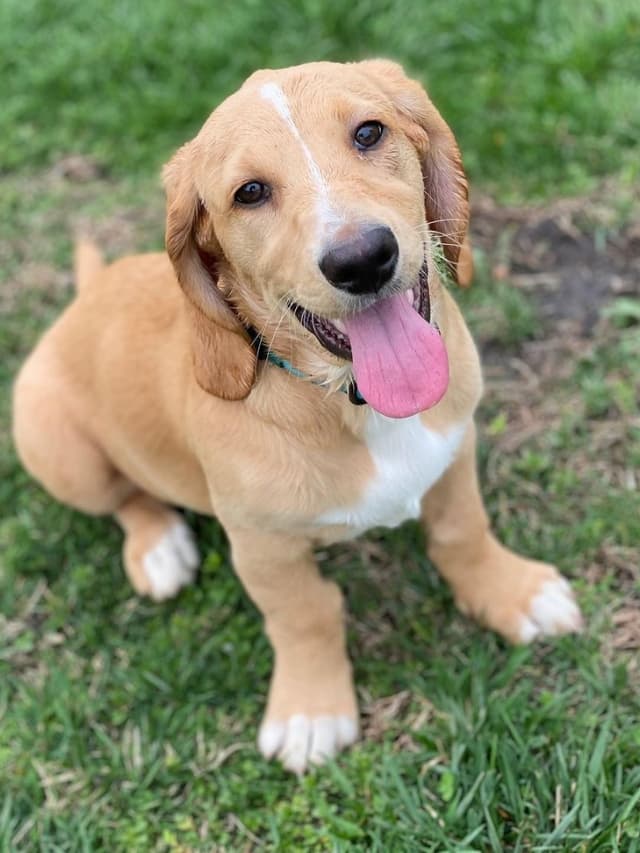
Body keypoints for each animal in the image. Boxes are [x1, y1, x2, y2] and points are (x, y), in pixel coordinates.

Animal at [11, 61, 584, 772]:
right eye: (250, 193)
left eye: (369, 132)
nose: (362, 259)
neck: (349, 401)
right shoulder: (262, 546)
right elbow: (306, 615)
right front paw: (311, 709)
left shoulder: (455, 449)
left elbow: (462, 532)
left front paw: (512, 594)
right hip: (60, 452)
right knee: (125, 497)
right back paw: (160, 548)